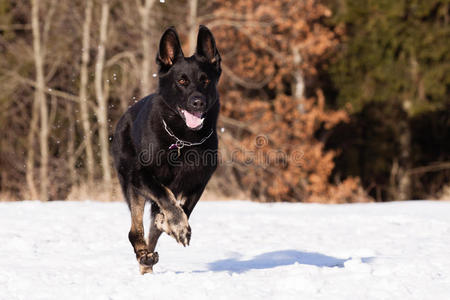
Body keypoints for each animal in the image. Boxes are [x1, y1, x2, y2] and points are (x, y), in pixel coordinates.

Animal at [112, 26, 221, 274]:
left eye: (205, 80)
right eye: (182, 80)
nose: (198, 102)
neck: (182, 140)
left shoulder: (198, 182)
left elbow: (181, 208)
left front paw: (169, 223)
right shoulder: (142, 176)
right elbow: (166, 197)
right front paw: (178, 226)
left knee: (151, 234)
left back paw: (148, 259)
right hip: (132, 186)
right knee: (135, 231)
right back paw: (144, 256)